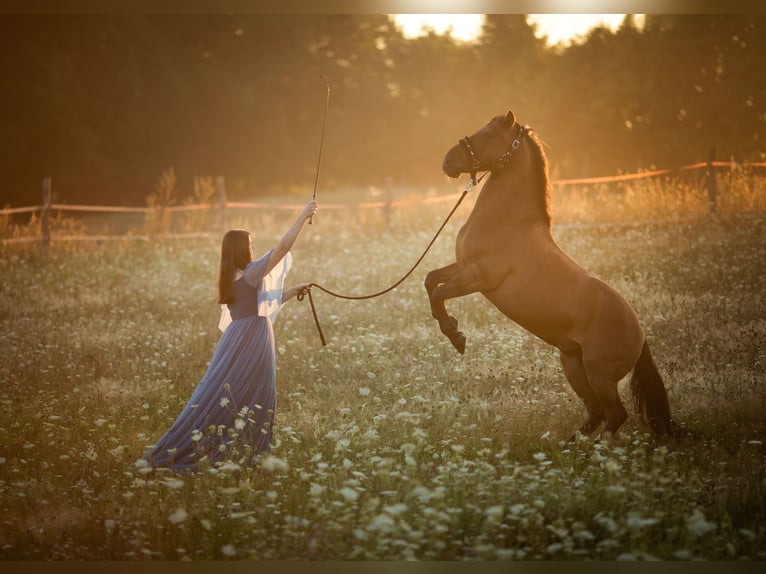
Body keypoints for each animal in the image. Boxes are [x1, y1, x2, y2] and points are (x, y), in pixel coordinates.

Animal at [426, 110, 684, 438]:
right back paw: (569, 444)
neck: (506, 221)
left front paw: (456, 337)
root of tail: (640, 336)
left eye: (489, 134)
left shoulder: (478, 278)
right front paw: (455, 329)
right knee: (597, 414)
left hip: (599, 375)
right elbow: (430, 280)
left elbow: (438, 293)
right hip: (573, 365)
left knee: (615, 415)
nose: (447, 160)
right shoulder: (461, 267)